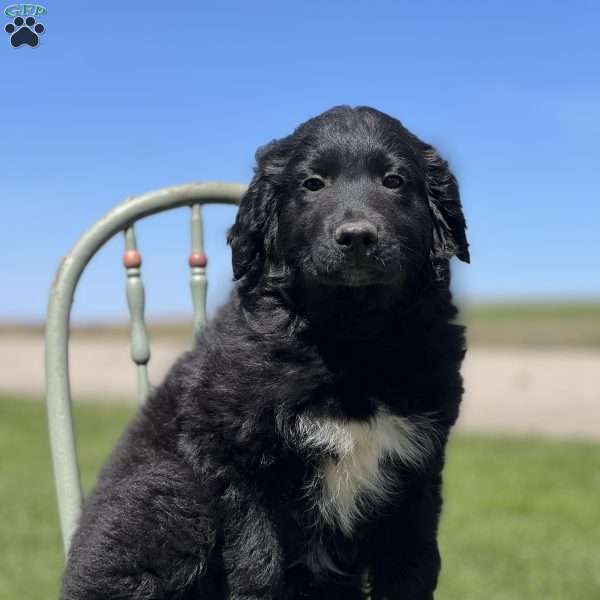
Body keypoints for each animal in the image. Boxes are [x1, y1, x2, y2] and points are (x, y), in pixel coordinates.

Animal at [63, 105, 472, 596]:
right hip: (169, 495)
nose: (356, 237)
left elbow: (412, 568)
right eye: (312, 184)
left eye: (394, 181)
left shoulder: (417, 470)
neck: (351, 338)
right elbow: (258, 566)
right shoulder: (236, 461)